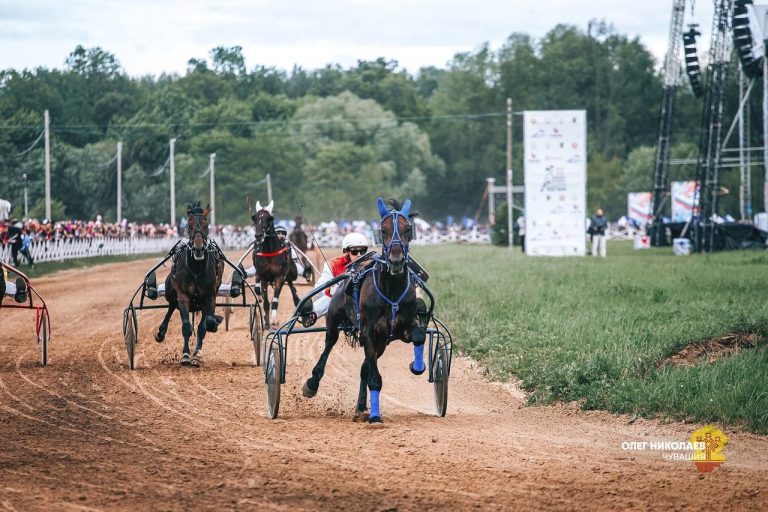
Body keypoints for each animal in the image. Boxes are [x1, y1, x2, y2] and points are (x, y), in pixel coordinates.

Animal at [154, 203, 224, 367]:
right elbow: (186, 326)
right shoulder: (183, 296)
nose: (198, 248)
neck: (196, 269)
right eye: (188, 225)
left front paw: (197, 354)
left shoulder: (209, 297)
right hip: (171, 291)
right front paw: (185, 354)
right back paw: (161, 332)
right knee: (172, 306)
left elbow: (204, 326)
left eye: (206, 225)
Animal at [251, 201, 301, 329]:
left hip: (290, 275)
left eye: (269, 218)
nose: (258, 235)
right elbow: (266, 301)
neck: (269, 251)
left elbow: (275, 300)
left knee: (293, 289)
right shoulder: (263, 276)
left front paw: (273, 321)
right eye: (255, 218)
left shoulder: (279, 277)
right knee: (257, 288)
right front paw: (267, 323)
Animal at [302, 198, 426, 424]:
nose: (396, 261)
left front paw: (417, 366)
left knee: (364, 368)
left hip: (381, 343)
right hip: (334, 320)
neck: (391, 291)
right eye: (383, 230)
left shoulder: (402, 327)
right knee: (329, 345)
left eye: (408, 229)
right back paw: (312, 383)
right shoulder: (368, 331)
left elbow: (419, 335)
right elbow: (375, 379)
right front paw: (376, 417)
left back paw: (360, 407)